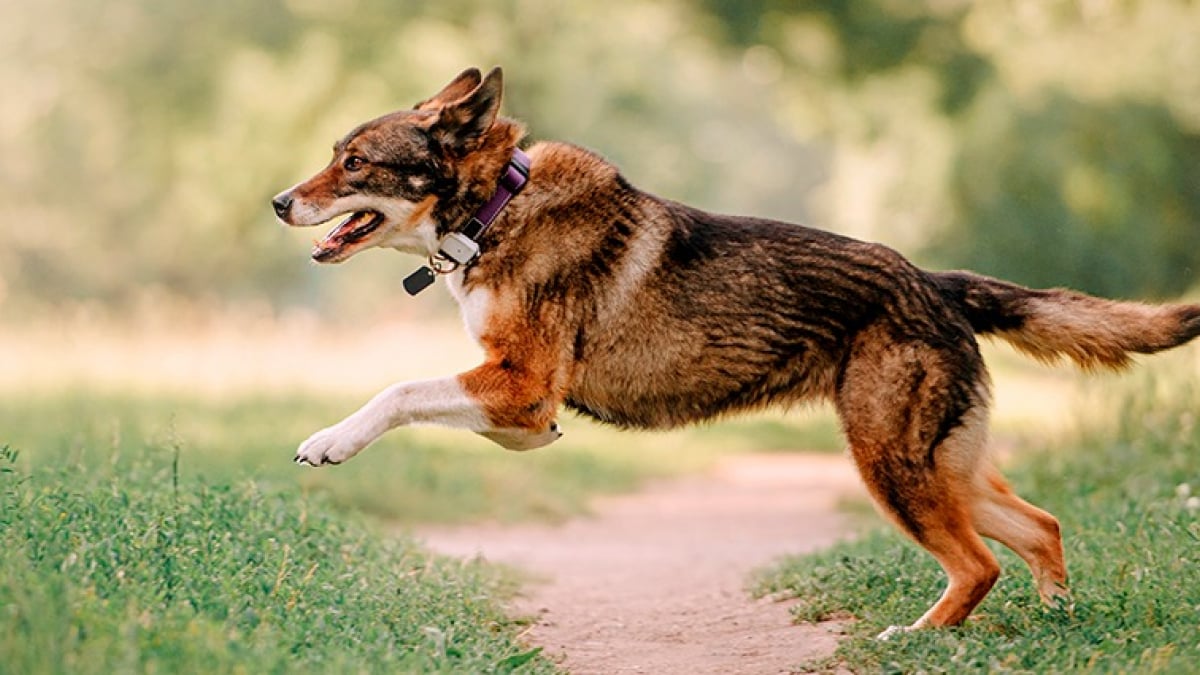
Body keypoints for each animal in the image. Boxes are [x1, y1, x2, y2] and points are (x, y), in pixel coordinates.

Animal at [272, 68, 1200, 634]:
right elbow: (469, 412)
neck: (493, 209)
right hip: (943, 465)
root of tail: (936, 282)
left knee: (978, 564)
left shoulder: (523, 380)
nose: (279, 201)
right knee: (1039, 527)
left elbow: (398, 390)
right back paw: (1053, 621)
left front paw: (329, 441)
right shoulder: (518, 395)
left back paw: (920, 636)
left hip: (891, 463)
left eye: (354, 161)